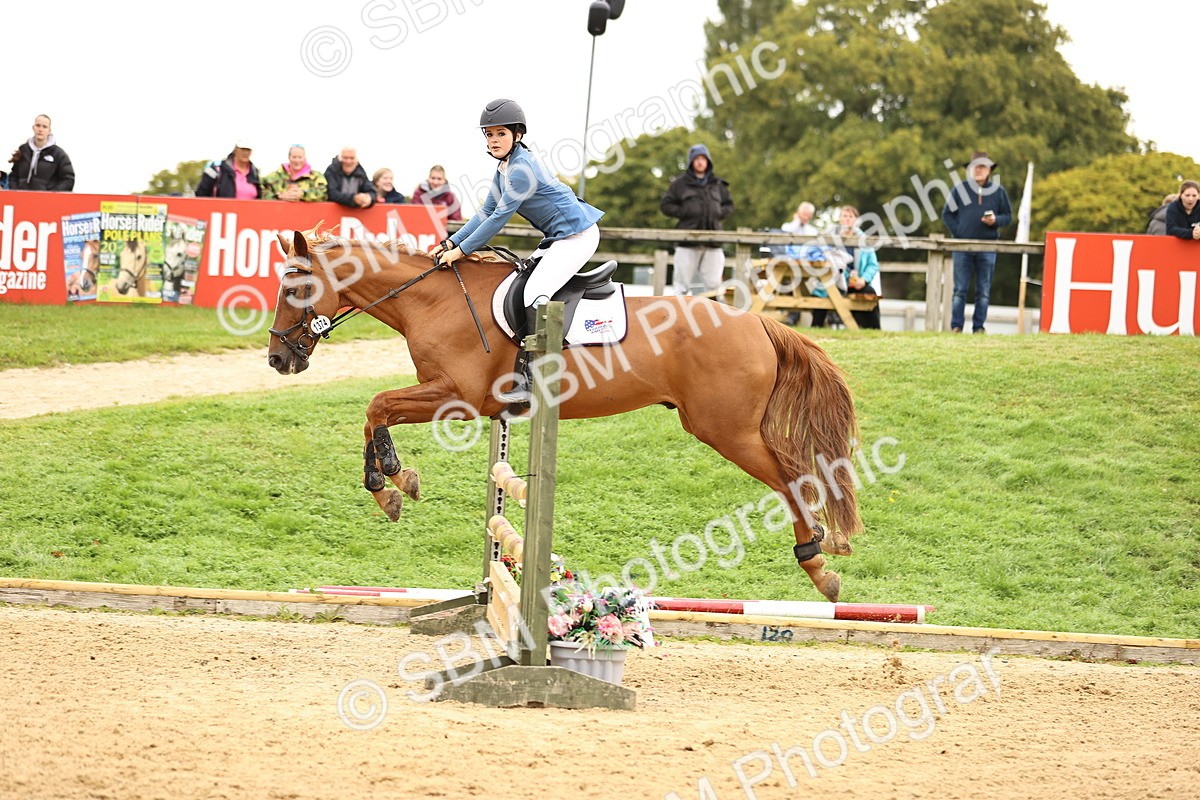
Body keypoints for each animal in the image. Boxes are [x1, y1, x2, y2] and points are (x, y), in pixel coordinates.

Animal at [266, 230, 863, 602]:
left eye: (296, 287)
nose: (278, 359)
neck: (432, 301)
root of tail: (758, 322)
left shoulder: (457, 396)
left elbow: (377, 405)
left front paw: (392, 478)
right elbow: (375, 411)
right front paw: (391, 487)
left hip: (726, 431)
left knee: (791, 476)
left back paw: (818, 561)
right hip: (728, 428)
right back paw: (827, 545)